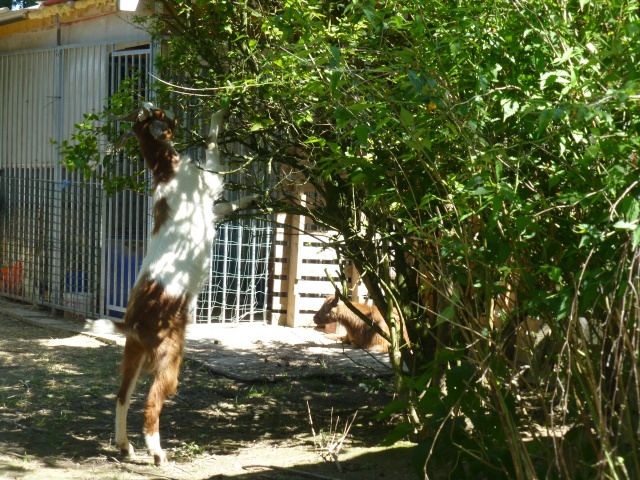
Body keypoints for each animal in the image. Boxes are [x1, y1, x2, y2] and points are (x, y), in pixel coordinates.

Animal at [112, 104, 258, 464]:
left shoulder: (212, 206)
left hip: (134, 355)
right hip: (170, 358)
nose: (159, 111)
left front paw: (251, 198)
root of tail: (133, 323)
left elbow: (228, 205)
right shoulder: (210, 179)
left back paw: (125, 446)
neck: (166, 170)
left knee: (122, 396)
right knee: (151, 403)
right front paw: (221, 109)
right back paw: (157, 452)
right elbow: (213, 143)